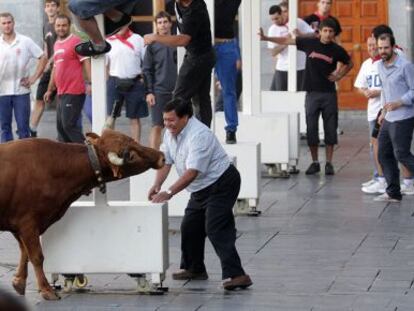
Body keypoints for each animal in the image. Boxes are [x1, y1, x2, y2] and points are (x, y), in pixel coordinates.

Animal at [0, 129, 165, 300]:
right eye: (131, 155)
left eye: (133, 140)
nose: (161, 156)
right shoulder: (28, 222)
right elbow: (36, 256)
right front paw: (46, 289)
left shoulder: (20, 224)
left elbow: (24, 252)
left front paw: (19, 281)